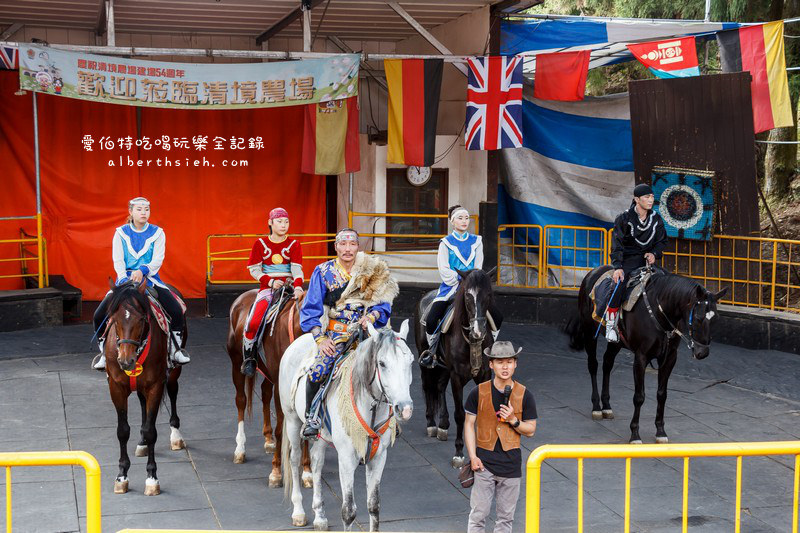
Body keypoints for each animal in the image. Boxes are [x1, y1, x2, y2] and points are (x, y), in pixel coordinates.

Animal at [104, 280, 186, 496]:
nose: (126, 360)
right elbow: (123, 431)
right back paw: (141, 443)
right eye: (114, 319)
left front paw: (151, 478)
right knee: (142, 404)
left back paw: (176, 435)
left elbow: (151, 431)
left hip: (173, 373)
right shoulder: (116, 387)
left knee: (173, 391)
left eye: (141, 319)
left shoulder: (155, 385)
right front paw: (122, 476)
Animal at [228, 288, 312, 488]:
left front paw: (307, 472)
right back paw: (240, 449)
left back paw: (268, 439)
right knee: (241, 401)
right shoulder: (280, 387)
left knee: (265, 393)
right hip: (236, 363)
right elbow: (280, 428)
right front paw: (276, 472)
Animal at [278, 318, 412, 528]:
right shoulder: (347, 459)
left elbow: (374, 506)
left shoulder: (379, 456)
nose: (404, 408)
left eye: (411, 361)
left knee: (316, 462)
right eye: (382, 363)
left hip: (321, 435)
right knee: (294, 459)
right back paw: (298, 512)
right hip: (292, 419)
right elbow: (348, 511)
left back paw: (319, 515)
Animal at [418, 268, 494, 468]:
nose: (478, 331)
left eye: (488, 294)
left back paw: (443, 425)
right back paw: (432, 423)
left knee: (439, 387)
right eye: (467, 295)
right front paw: (459, 453)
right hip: (426, 364)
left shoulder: (484, 375)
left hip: (445, 368)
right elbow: (460, 414)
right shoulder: (457, 376)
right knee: (428, 387)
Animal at [564, 266, 728, 444]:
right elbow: (639, 396)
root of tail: (592, 272)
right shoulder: (641, 357)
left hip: (616, 343)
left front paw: (661, 431)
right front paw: (635, 434)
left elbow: (662, 394)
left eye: (716, 318)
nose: (702, 352)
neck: (660, 312)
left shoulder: (670, 358)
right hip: (589, 332)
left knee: (607, 363)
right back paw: (596, 407)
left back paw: (606, 406)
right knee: (593, 365)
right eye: (698, 317)